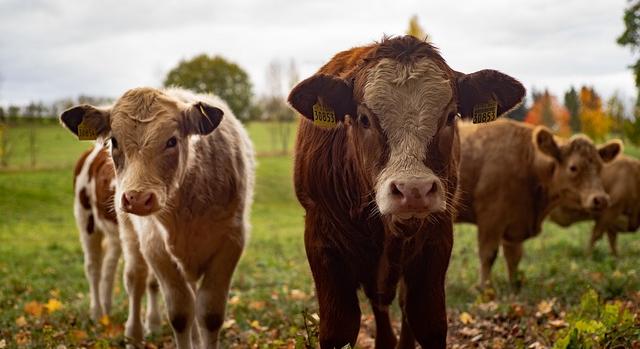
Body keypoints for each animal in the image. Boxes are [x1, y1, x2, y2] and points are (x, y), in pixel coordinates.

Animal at [288, 36, 524, 348]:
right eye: (364, 119)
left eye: (450, 116)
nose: (414, 190)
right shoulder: (322, 243)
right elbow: (339, 328)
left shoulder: (436, 241)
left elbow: (427, 321)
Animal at [458, 119, 624, 288]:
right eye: (573, 167)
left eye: (600, 167)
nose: (601, 199)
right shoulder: (491, 218)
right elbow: (488, 255)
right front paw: (485, 288)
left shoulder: (515, 225)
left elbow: (514, 258)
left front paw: (514, 286)